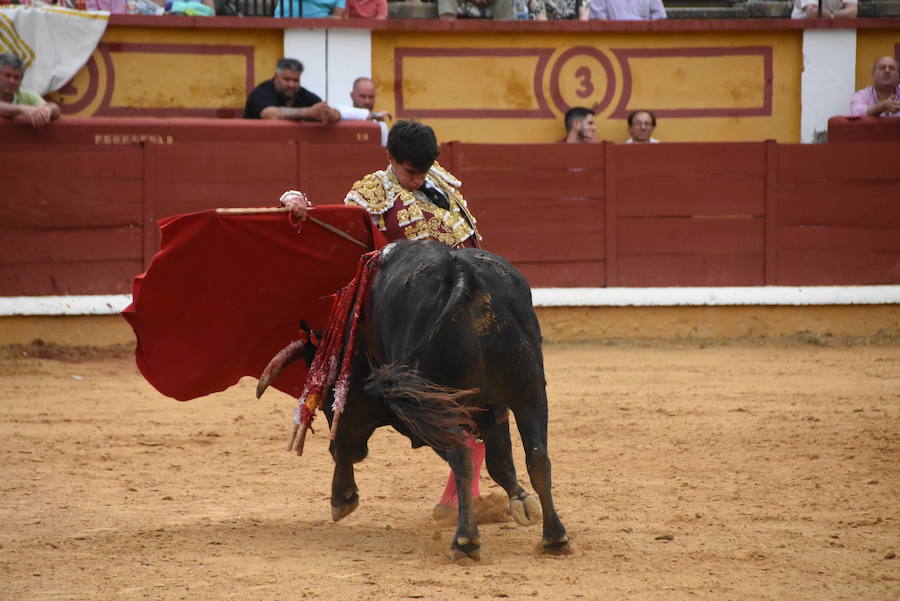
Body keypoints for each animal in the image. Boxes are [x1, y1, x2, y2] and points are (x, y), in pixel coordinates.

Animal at [260, 239, 568, 556]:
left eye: (326, 401)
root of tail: (463, 276)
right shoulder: (490, 406)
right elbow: (500, 459)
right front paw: (521, 501)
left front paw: (341, 498)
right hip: (530, 390)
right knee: (538, 456)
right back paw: (554, 537)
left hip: (439, 400)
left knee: (461, 454)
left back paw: (465, 540)